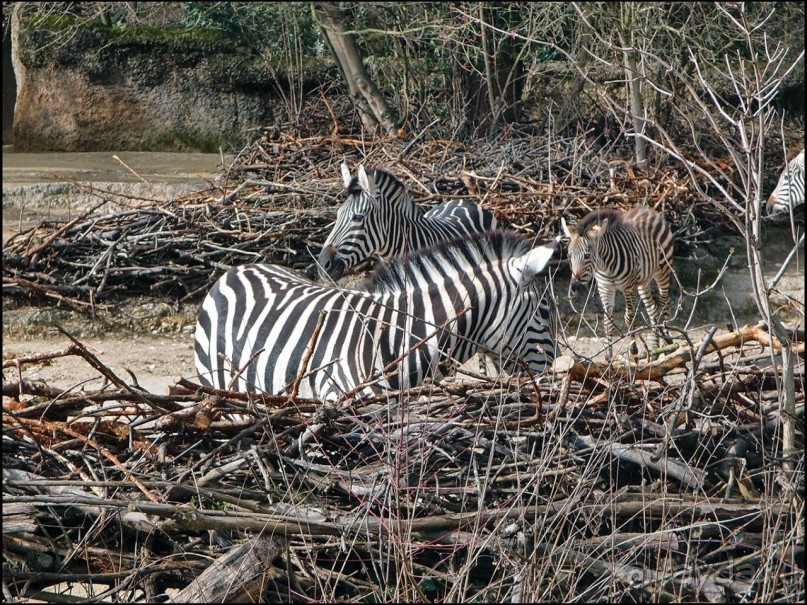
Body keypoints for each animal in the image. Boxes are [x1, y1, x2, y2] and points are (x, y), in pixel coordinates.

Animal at [560, 205, 676, 356]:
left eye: (587, 255)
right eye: (569, 255)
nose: (574, 286)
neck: (605, 267)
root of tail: (649, 209)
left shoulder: (629, 287)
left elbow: (629, 317)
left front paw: (633, 350)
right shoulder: (605, 288)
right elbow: (608, 323)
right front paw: (608, 357)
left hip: (663, 270)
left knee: (665, 301)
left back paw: (667, 341)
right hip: (643, 281)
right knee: (652, 309)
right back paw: (655, 347)